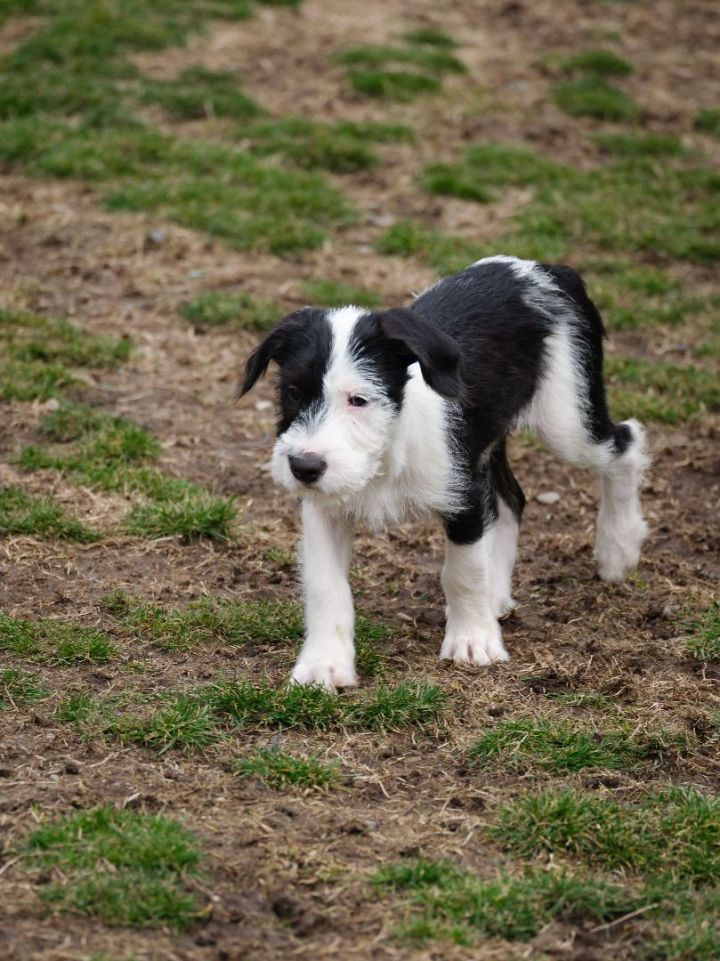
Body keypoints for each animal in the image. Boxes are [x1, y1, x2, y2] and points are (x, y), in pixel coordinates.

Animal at [239, 255, 648, 688]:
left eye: (359, 399)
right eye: (292, 392)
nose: (303, 467)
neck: (387, 453)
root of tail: (543, 268)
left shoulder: (463, 496)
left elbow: (463, 571)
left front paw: (472, 642)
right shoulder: (324, 509)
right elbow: (326, 586)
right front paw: (324, 665)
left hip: (566, 420)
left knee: (626, 443)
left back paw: (619, 549)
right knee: (511, 501)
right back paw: (497, 594)